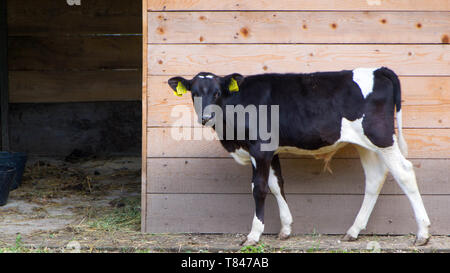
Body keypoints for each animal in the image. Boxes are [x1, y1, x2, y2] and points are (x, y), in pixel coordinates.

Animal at [169, 67, 432, 245]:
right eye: (194, 93)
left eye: (217, 93)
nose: (205, 117)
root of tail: (378, 70)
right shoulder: (271, 151)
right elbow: (277, 185)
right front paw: (285, 228)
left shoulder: (260, 148)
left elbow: (259, 188)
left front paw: (254, 235)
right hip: (366, 145)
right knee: (375, 178)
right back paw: (353, 231)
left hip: (381, 136)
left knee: (405, 173)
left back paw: (423, 233)